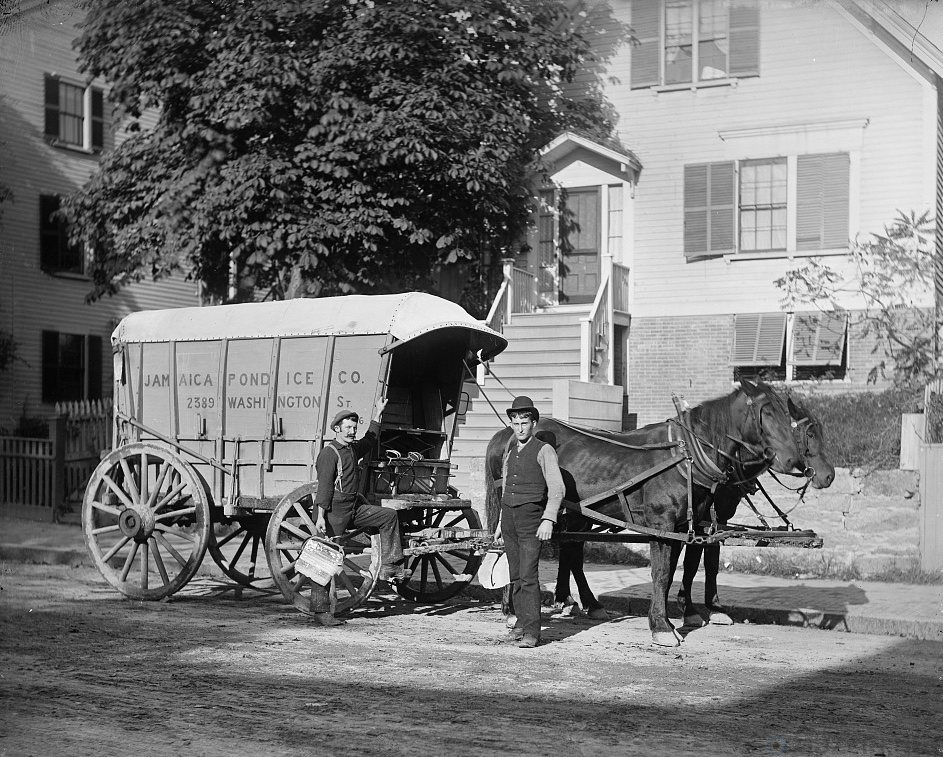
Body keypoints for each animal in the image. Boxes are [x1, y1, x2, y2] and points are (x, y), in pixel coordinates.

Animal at [486, 380, 804, 648]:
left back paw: (585, 603)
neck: (687, 456)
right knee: (507, 549)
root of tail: (504, 434)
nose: (796, 461)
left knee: (569, 552)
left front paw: (671, 619)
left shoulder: (682, 528)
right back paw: (512, 612)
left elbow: (675, 573)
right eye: (766, 413)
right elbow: (662, 574)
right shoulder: (662, 524)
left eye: (786, 414)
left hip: (574, 515)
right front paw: (663, 627)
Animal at [680, 396, 832, 628]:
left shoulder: (717, 522)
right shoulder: (698, 522)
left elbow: (712, 563)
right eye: (811, 434)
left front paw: (715, 608)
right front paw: (689, 610)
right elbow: (690, 564)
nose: (830, 475)